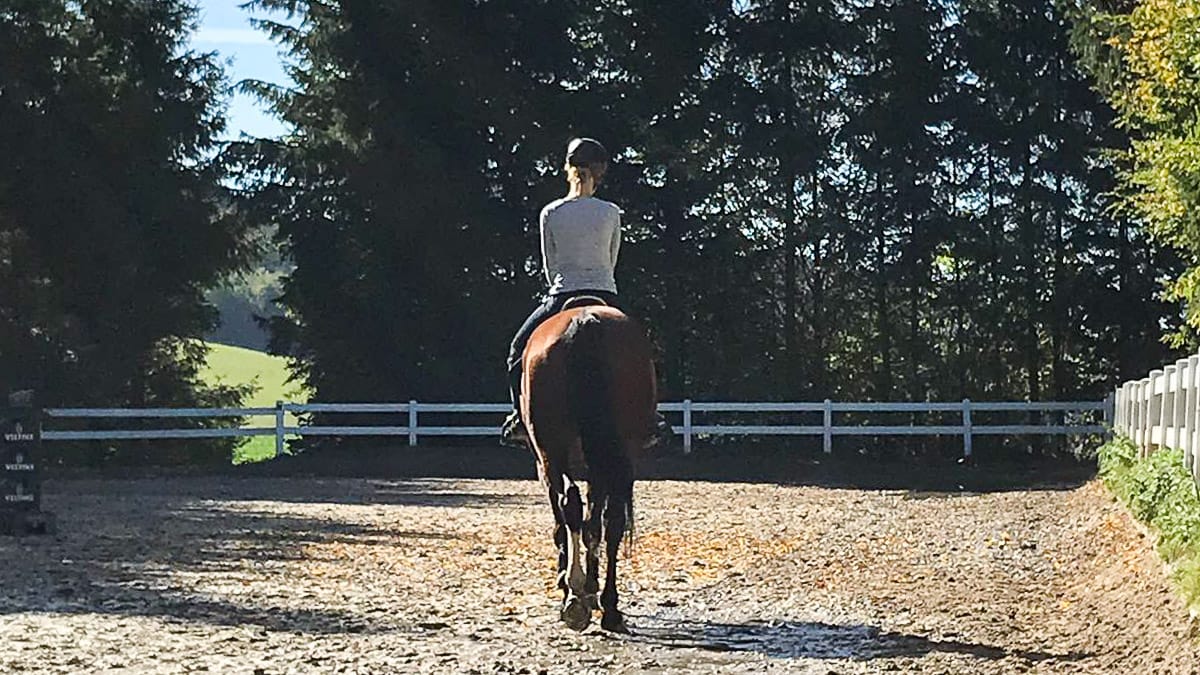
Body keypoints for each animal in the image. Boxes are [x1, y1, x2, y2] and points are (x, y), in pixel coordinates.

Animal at [520, 299, 657, 629]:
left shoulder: (545, 464)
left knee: (572, 505)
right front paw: (588, 588)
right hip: (616, 454)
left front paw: (573, 583)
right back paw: (606, 606)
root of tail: (584, 322)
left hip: (554, 451)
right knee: (609, 521)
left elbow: (568, 520)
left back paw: (576, 596)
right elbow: (593, 522)